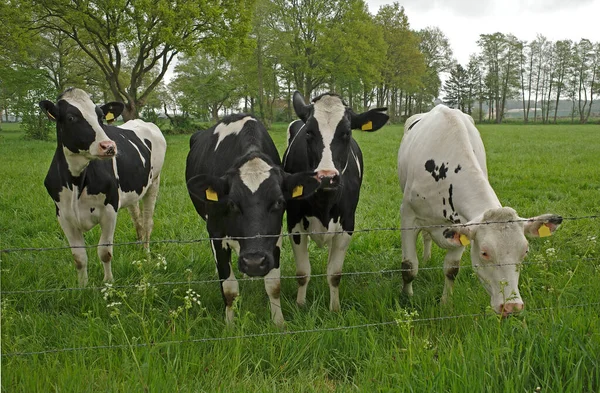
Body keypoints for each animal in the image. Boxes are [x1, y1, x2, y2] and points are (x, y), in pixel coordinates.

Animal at [39, 88, 166, 284]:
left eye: (100, 117)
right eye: (71, 117)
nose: (109, 146)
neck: (76, 181)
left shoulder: (109, 210)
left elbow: (105, 251)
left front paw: (108, 283)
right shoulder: (63, 216)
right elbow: (79, 258)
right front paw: (82, 286)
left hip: (154, 182)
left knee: (147, 222)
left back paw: (146, 253)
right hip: (132, 191)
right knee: (137, 220)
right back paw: (138, 246)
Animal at [186, 112, 318, 324]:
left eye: (279, 202)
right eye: (232, 203)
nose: (254, 262)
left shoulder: (274, 236)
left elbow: (273, 284)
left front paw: (279, 323)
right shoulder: (215, 232)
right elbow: (229, 288)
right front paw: (230, 325)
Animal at [282, 90, 390, 310]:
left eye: (347, 133)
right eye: (309, 133)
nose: (327, 176)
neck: (324, 202)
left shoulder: (348, 223)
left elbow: (334, 274)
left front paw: (335, 308)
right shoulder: (294, 222)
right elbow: (302, 272)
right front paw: (300, 305)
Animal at [398, 105, 564, 316]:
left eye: (525, 252)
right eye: (485, 253)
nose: (512, 306)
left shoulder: (460, 224)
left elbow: (451, 269)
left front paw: (446, 303)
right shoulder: (408, 217)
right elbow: (409, 266)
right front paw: (407, 298)